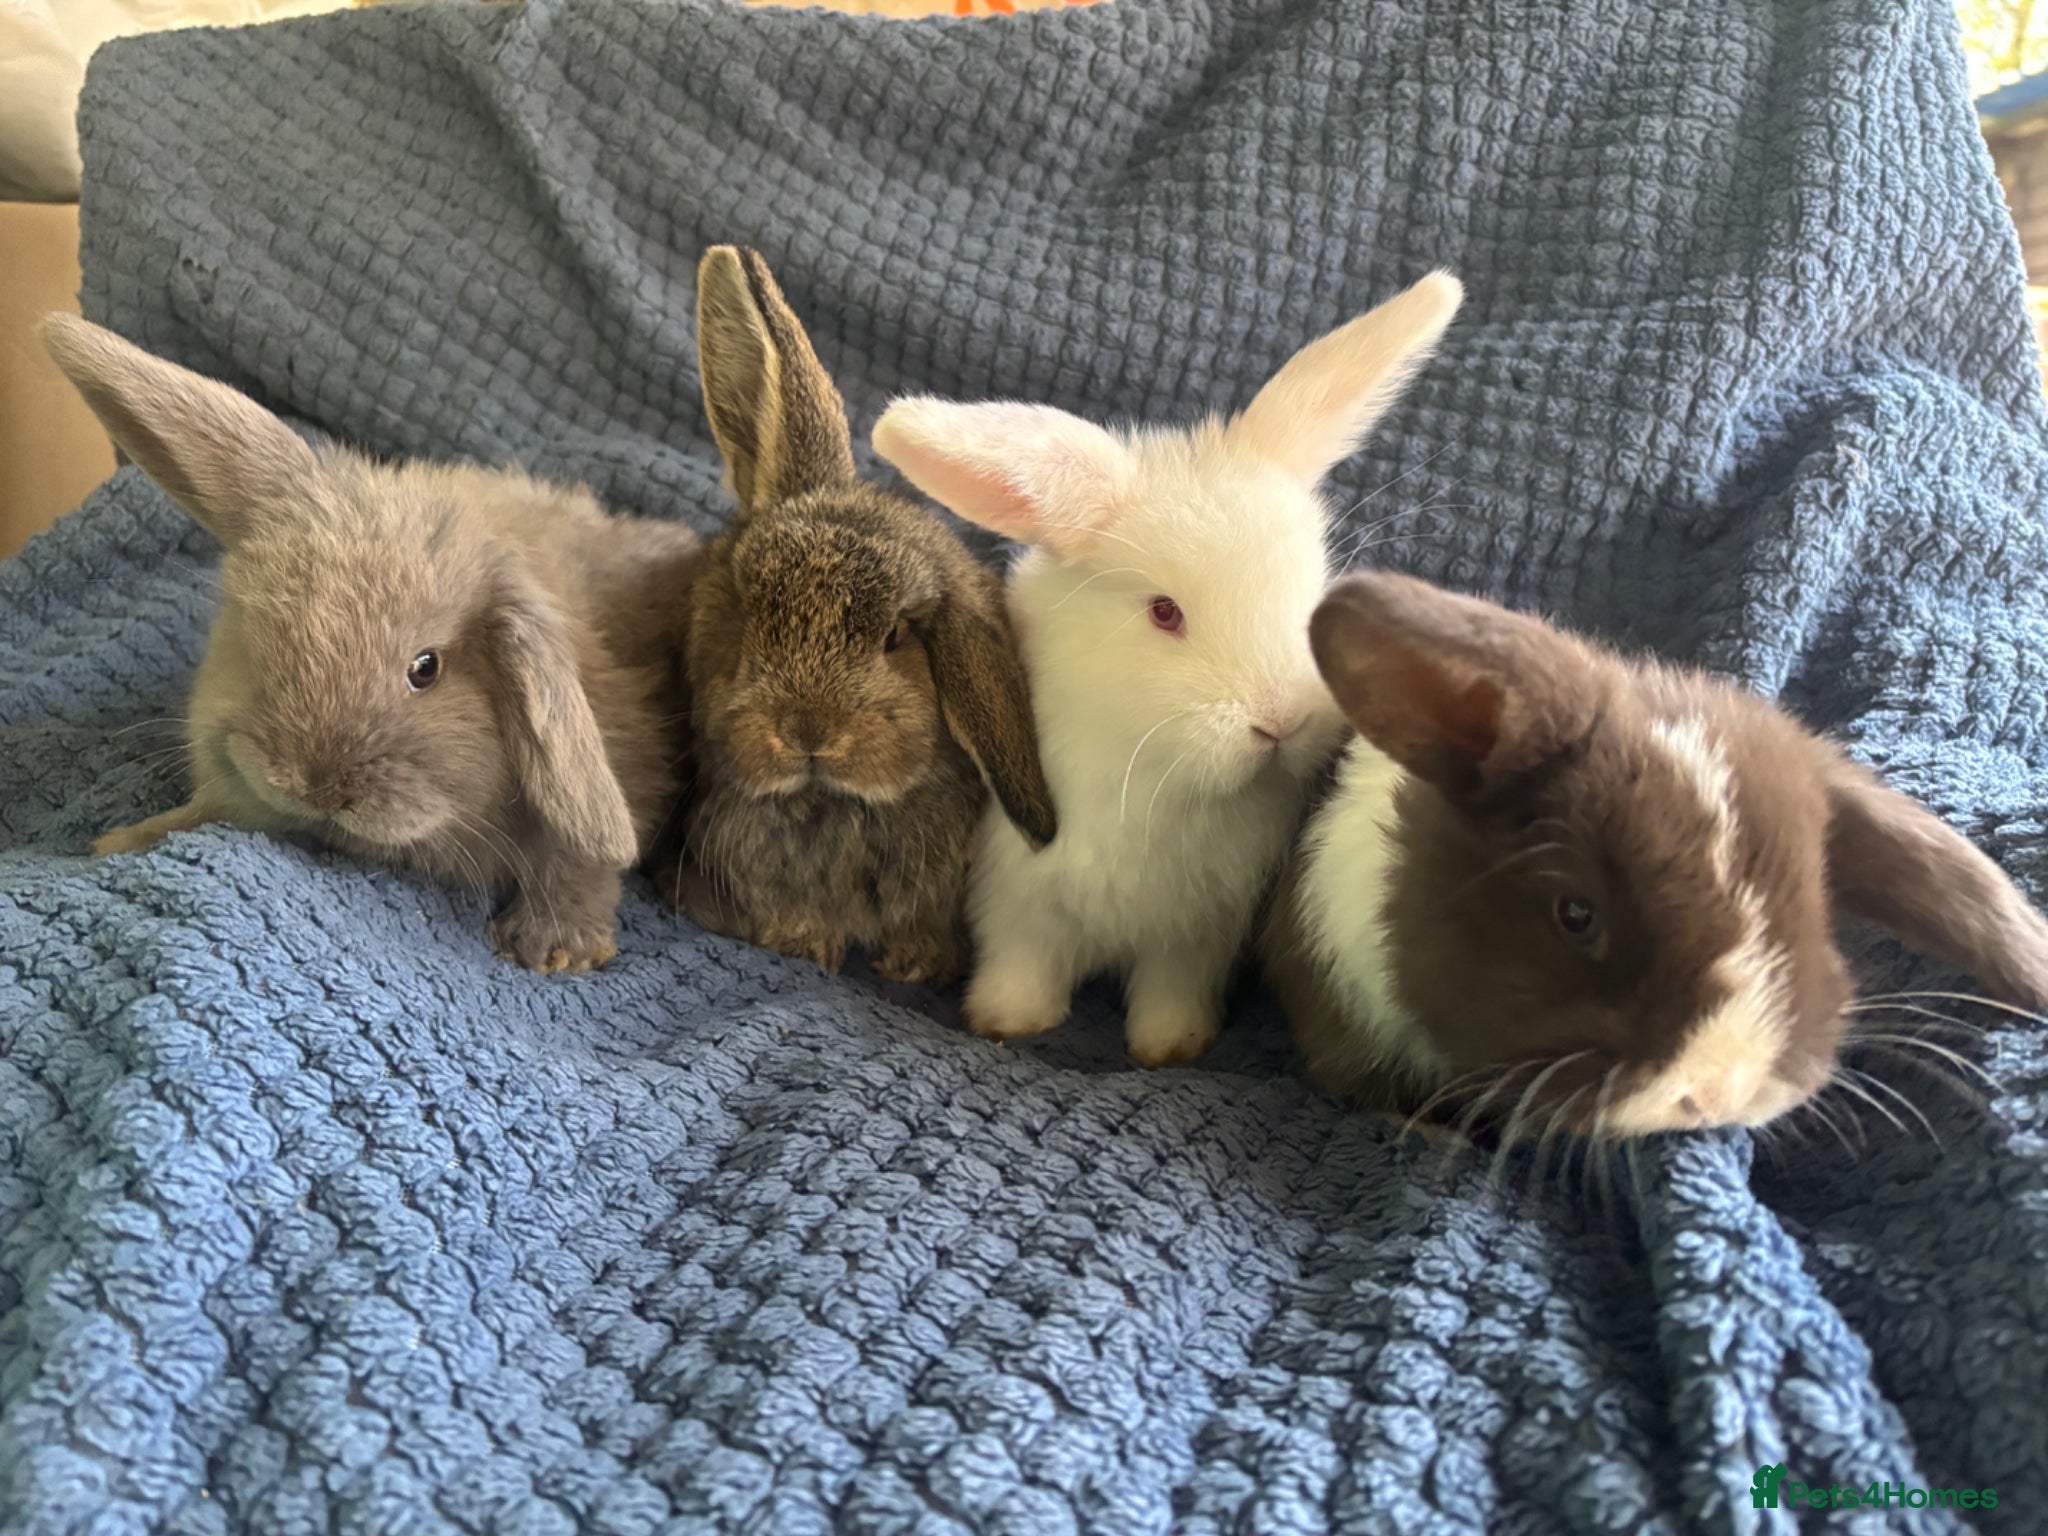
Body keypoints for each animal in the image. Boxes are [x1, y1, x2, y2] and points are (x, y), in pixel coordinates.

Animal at [46, 315, 701, 974]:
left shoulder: (625, 757)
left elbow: (580, 862)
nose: (310, 786)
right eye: (257, 628)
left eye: (425, 668)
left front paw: (552, 948)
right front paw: (123, 841)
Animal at [659, 246, 1056, 984]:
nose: (809, 731)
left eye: (896, 635)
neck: (832, 803)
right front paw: (802, 943)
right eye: (750, 611)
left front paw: (918, 963)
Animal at [871, 272, 1465, 1066]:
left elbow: (1171, 990)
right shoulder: (1018, 897)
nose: (1282, 720)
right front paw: (1006, 1022)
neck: (1161, 779)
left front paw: (1172, 1048)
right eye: (1164, 612)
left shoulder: (1199, 932)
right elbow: (1021, 963)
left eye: (1312, 591)